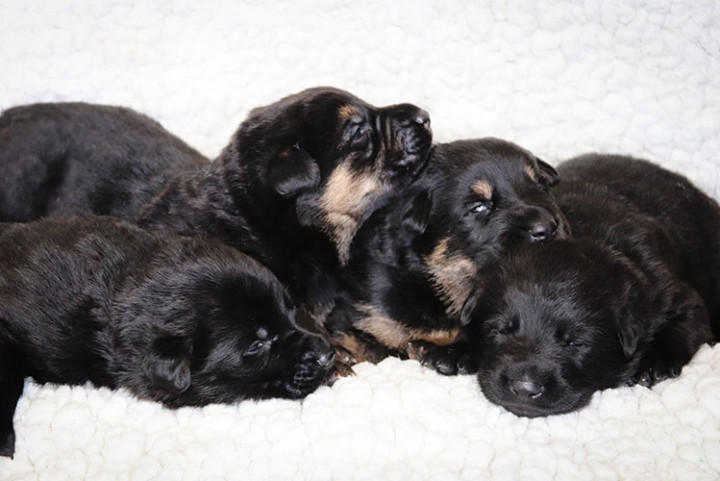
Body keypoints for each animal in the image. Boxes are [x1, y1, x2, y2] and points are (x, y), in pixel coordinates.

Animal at [416, 155, 720, 416]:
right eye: (500, 330)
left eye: (574, 342)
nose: (524, 388)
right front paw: (454, 350)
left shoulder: (671, 294)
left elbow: (686, 324)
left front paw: (653, 361)